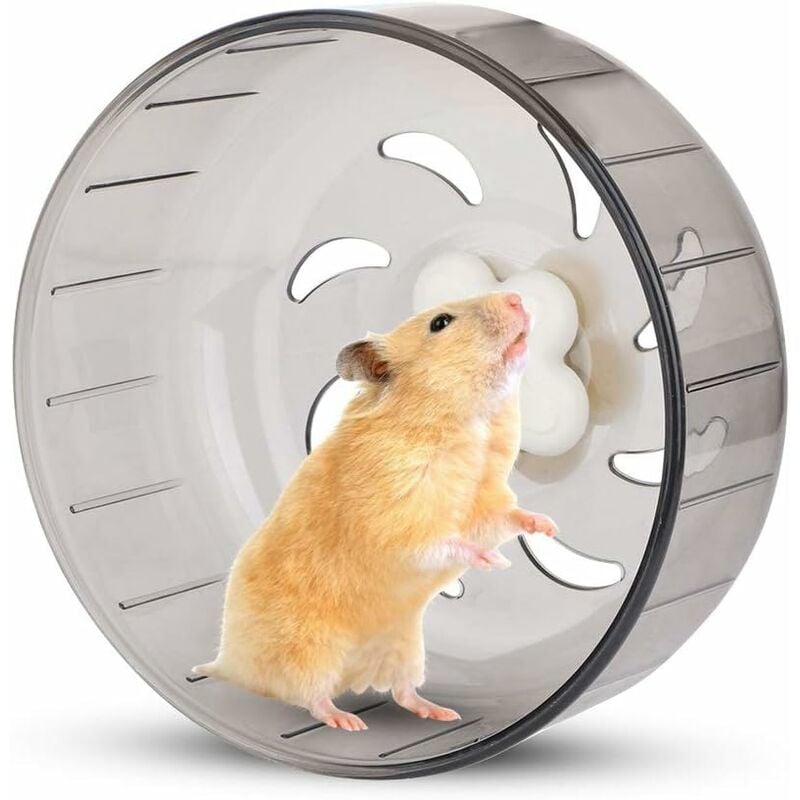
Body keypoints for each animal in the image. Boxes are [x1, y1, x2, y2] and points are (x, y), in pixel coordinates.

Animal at [193, 291, 557, 730]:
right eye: (440, 322)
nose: (516, 297)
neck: (470, 423)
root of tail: (229, 663)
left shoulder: (484, 503)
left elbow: (507, 517)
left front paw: (547, 527)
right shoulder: (398, 519)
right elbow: (440, 543)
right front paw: (493, 561)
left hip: (404, 646)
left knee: (402, 693)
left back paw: (442, 713)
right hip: (310, 651)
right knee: (310, 697)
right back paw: (348, 721)